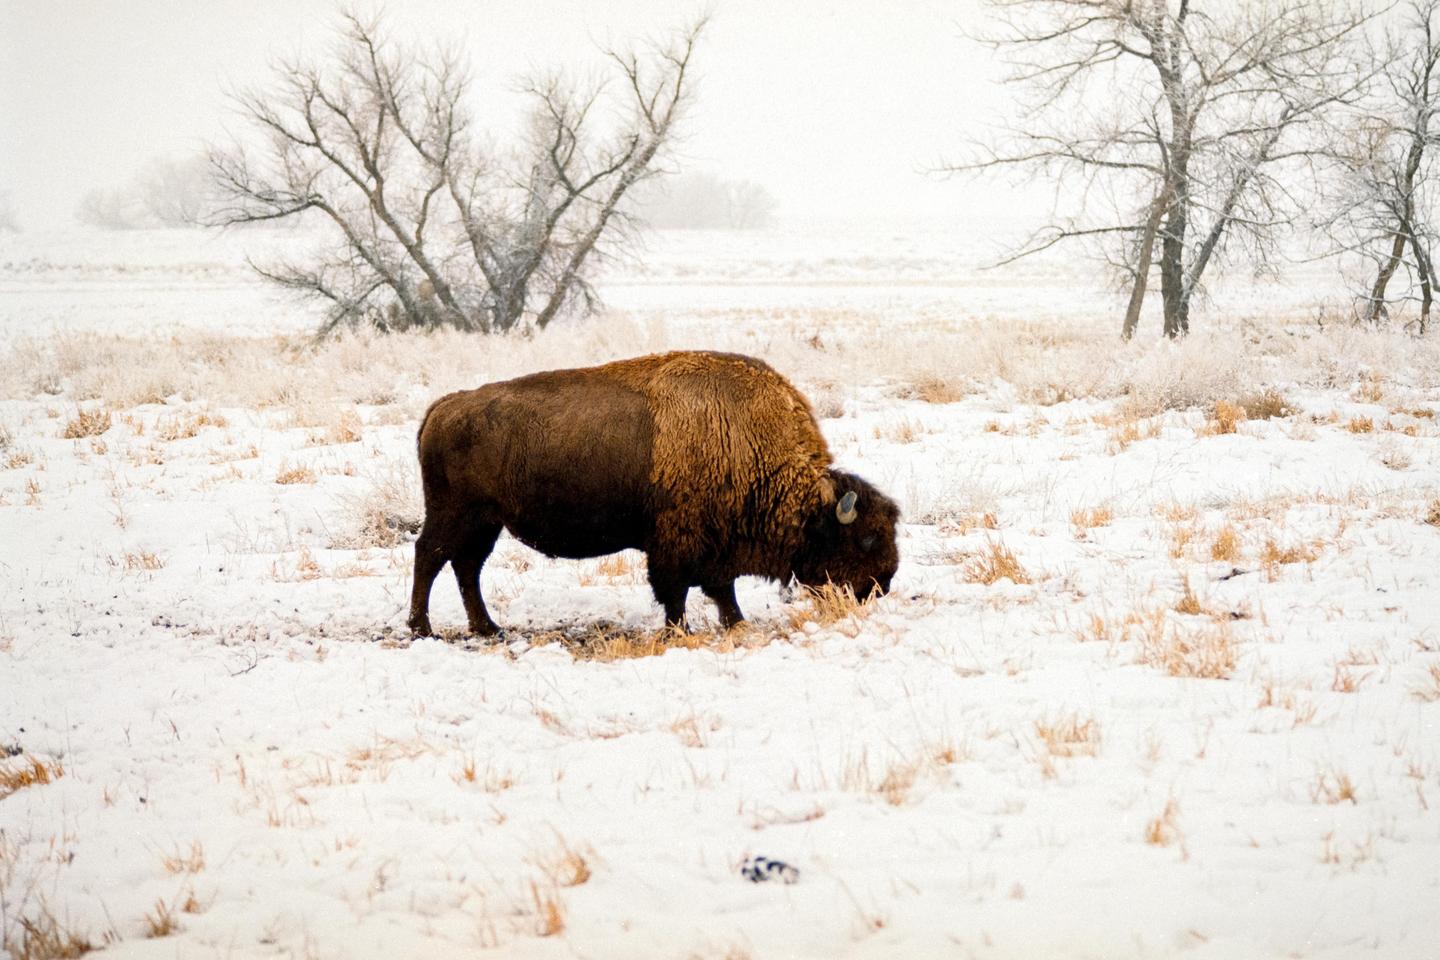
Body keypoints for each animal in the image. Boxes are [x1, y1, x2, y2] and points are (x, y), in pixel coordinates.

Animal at [407, 350, 899, 635]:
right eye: (866, 537)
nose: (882, 585)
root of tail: (444, 407)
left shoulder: (714, 548)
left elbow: (721, 590)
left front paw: (735, 624)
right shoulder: (676, 545)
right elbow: (677, 591)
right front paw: (680, 631)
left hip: (486, 523)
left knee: (466, 567)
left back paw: (487, 628)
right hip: (455, 515)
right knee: (430, 557)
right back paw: (422, 628)